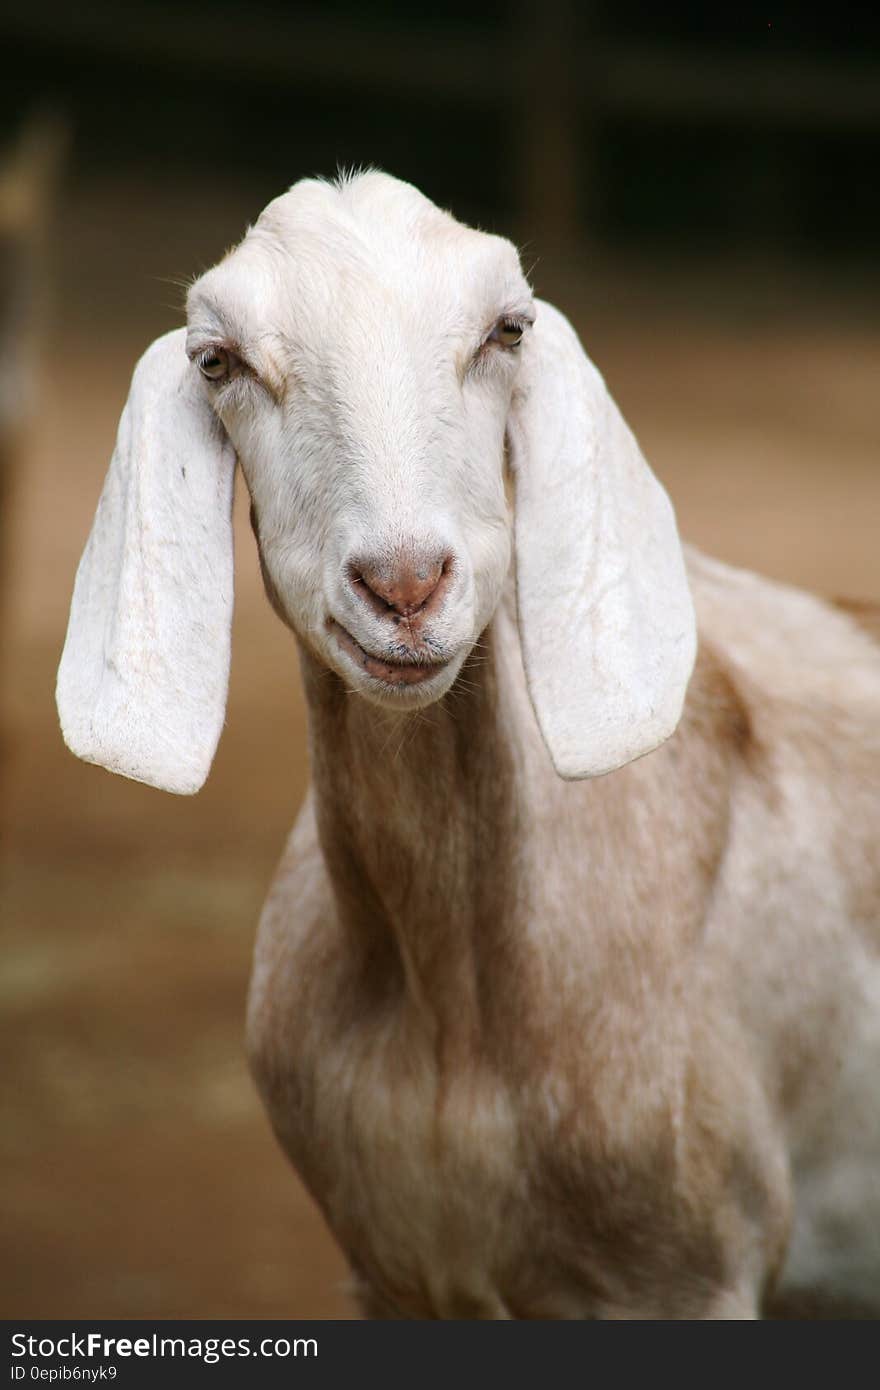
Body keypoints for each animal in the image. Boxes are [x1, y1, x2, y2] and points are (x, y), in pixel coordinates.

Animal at [56, 170, 878, 1312]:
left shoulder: (691, 1271)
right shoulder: (389, 1270)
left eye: (507, 330)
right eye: (218, 361)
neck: (453, 1012)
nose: (404, 585)